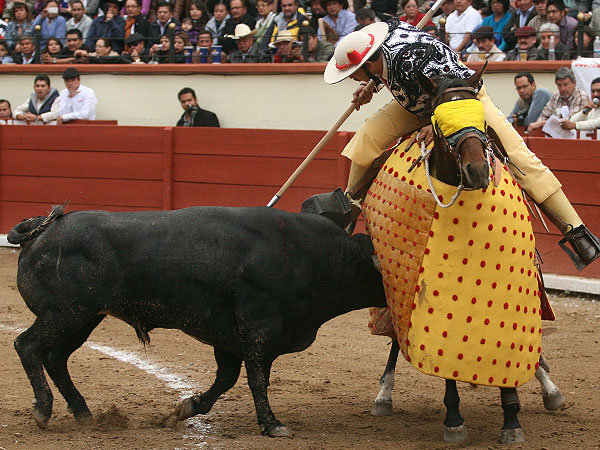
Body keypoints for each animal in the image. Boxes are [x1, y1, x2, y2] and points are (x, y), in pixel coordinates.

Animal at [7, 207, 386, 436]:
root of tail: (40, 230)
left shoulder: (231, 338)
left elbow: (227, 378)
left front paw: (187, 407)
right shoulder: (260, 327)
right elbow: (257, 380)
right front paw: (272, 424)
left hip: (83, 318)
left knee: (56, 358)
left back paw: (82, 411)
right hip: (64, 313)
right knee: (27, 345)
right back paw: (43, 409)